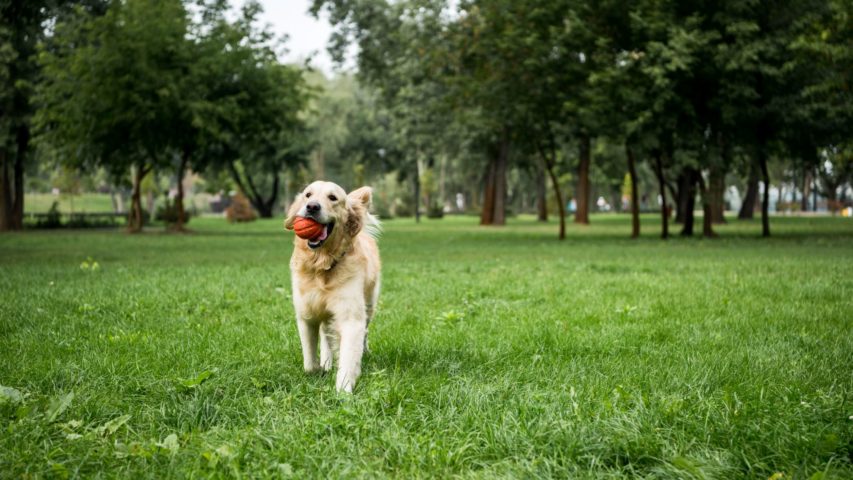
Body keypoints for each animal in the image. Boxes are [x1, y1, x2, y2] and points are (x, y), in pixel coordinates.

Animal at [284, 182, 382, 392]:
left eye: (333, 198)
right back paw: (327, 361)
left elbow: (349, 356)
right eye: (308, 195)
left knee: (365, 331)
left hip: (369, 303)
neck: (322, 265)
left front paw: (343, 390)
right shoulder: (306, 315)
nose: (312, 206)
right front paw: (318, 370)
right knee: (326, 335)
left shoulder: (351, 316)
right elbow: (309, 362)